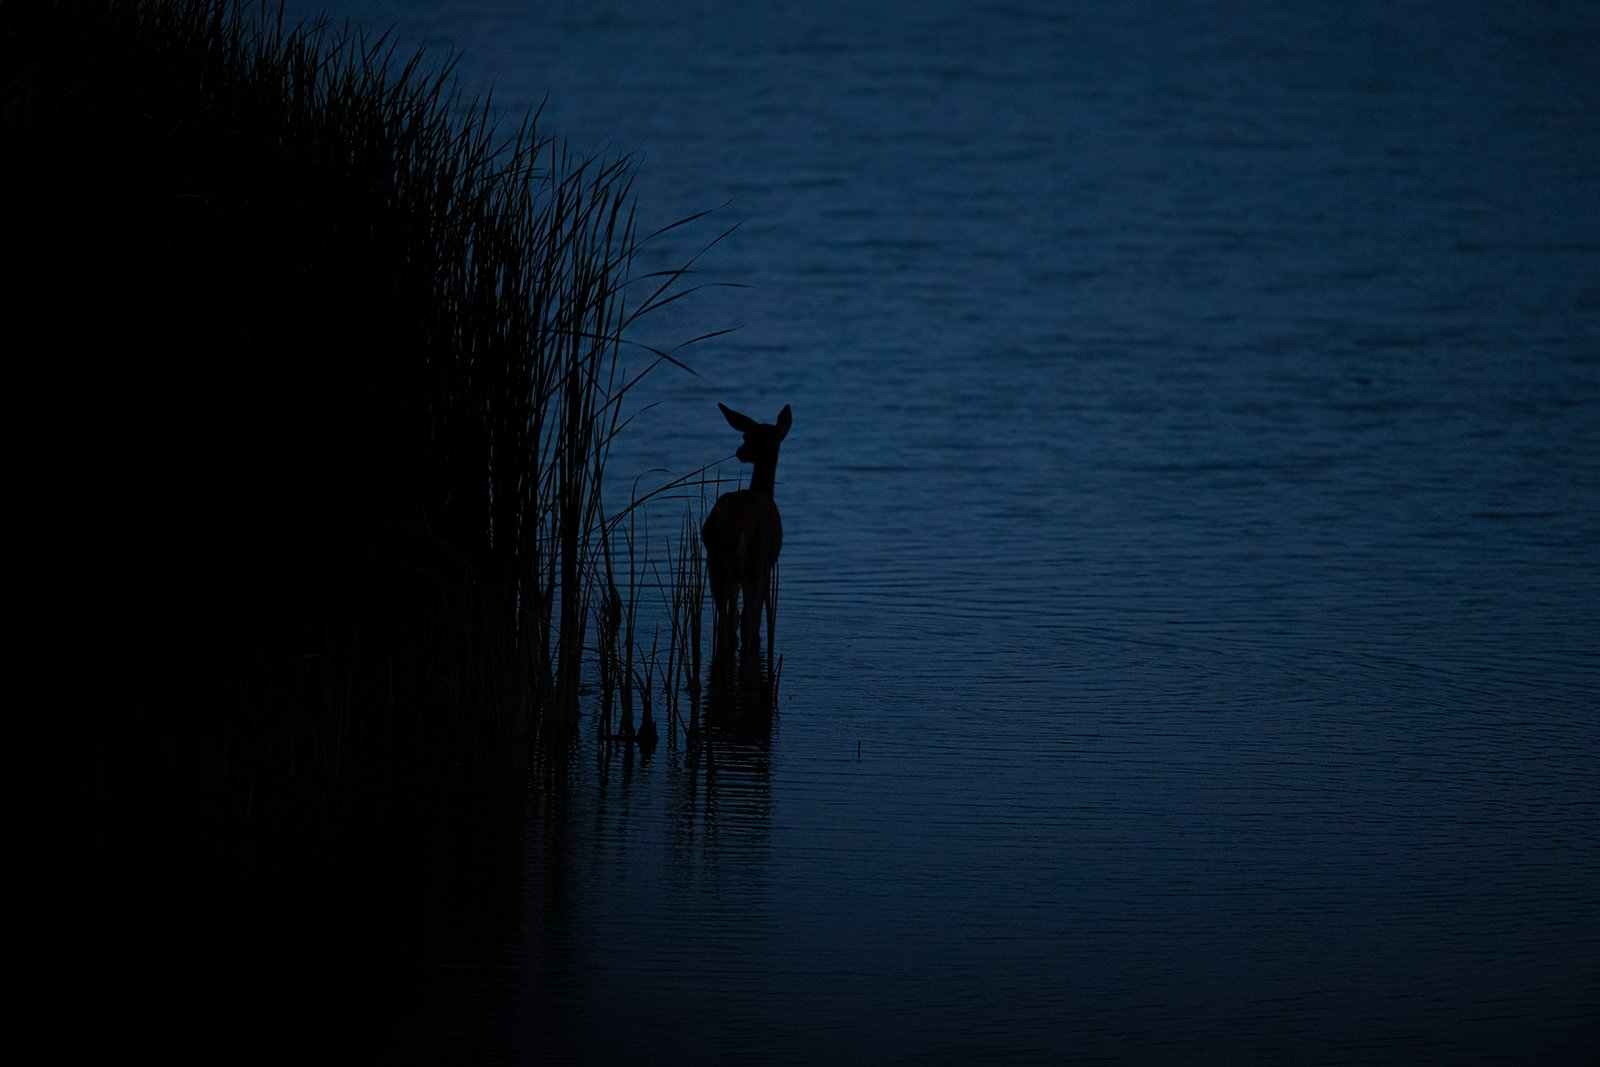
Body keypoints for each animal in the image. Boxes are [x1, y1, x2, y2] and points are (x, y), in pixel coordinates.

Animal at [701, 403, 792, 663]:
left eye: (747, 437)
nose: (740, 451)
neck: (765, 492)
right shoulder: (770, 562)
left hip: (717, 564)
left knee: (726, 617)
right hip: (754, 563)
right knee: (747, 619)